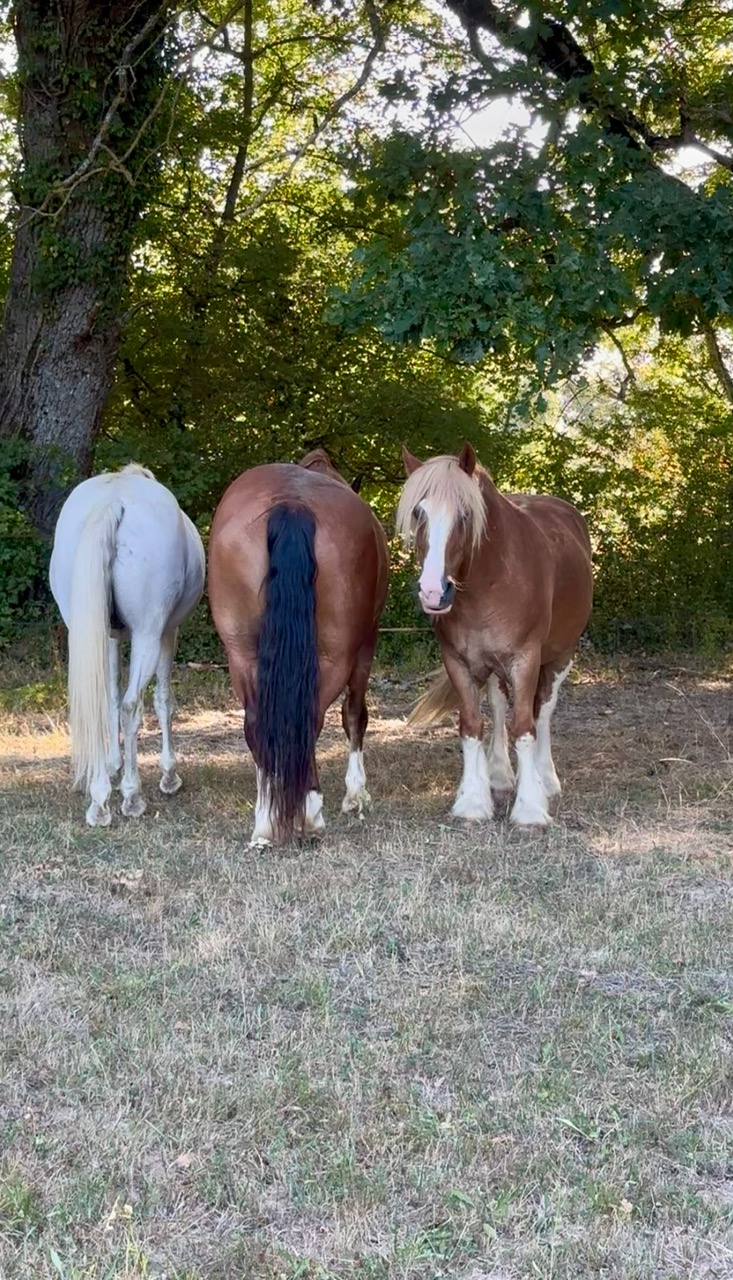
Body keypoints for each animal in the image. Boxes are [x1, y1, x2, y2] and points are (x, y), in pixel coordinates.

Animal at [49, 463, 205, 827]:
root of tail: (114, 499)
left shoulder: (108, 639)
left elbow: (109, 698)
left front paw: (113, 766)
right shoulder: (168, 633)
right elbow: (163, 701)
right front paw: (168, 775)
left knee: (105, 702)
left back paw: (100, 799)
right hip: (149, 634)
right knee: (132, 704)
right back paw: (131, 797)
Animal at [207, 448, 389, 845]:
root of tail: (292, 503)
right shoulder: (367, 642)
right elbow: (355, 714)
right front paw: (356, 794)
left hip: (240, 654)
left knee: (258, 724)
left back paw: (265, 820)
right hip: (335, 655)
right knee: (311, 720)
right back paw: (310, 813)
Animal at [397, 442, 593, 828]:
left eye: (464, 515)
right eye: (418, 513)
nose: (432, 592)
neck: (491, 580)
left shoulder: (525, 660)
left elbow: (525, 726)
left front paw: (530, 809)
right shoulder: (457, 661)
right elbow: (473, 724)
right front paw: (473, 801)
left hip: (560, 656)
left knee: (544, 710)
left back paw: (546, 780)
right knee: (500, 705)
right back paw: (500, 775)